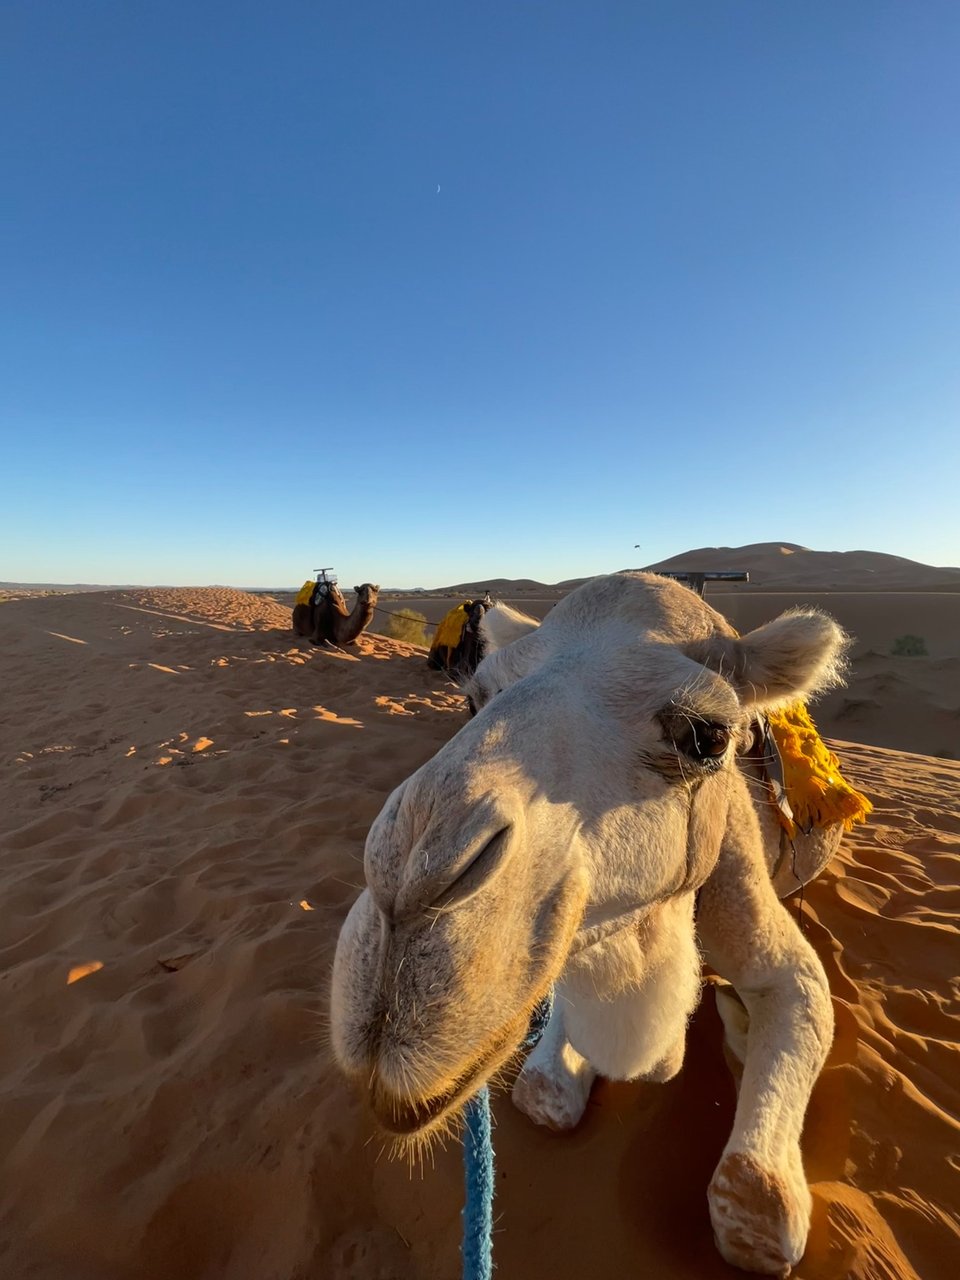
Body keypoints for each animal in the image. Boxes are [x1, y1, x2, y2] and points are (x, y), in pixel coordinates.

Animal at [331, 572, 851, 1275]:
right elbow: (542, 1090)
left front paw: (740, 1031)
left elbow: (760, 1206)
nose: (407, 893)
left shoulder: (767, 935)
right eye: (474, 699)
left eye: (707, 737)